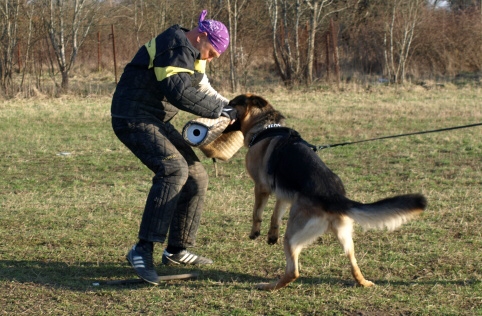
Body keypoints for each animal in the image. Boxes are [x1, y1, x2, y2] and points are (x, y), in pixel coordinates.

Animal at [228, 93, 428, 292]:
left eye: (233, 103)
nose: (224, 108)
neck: (266, 126)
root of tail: (333, 198)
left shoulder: (261, 187)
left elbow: (257, 213)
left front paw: (255, 233)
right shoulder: (283, 195)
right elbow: (275, 216)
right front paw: (271, 235)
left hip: (292, 236)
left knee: (293, 271)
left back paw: (268, 286)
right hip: (345, 236)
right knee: (353, 263)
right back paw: (363, 282)